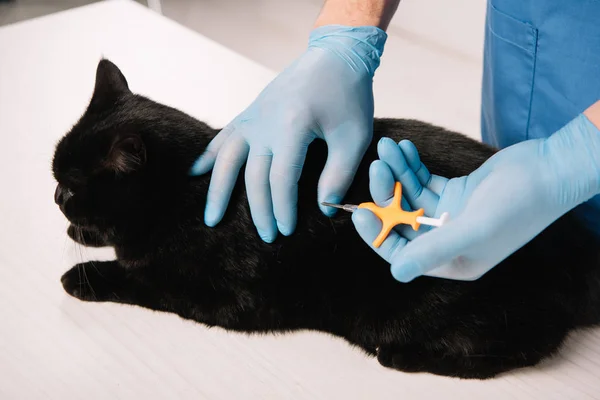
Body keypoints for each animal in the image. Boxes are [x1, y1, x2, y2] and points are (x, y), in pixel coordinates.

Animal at [51, 58, 600, 378]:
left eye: (72, 186)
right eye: (56, 173)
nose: (56, 194)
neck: (189, 193)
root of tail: (578, 247)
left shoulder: (223, 296)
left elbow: (145, 279)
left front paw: (85, 274)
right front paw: (86, 241)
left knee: (511, 355)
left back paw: (405, 357)